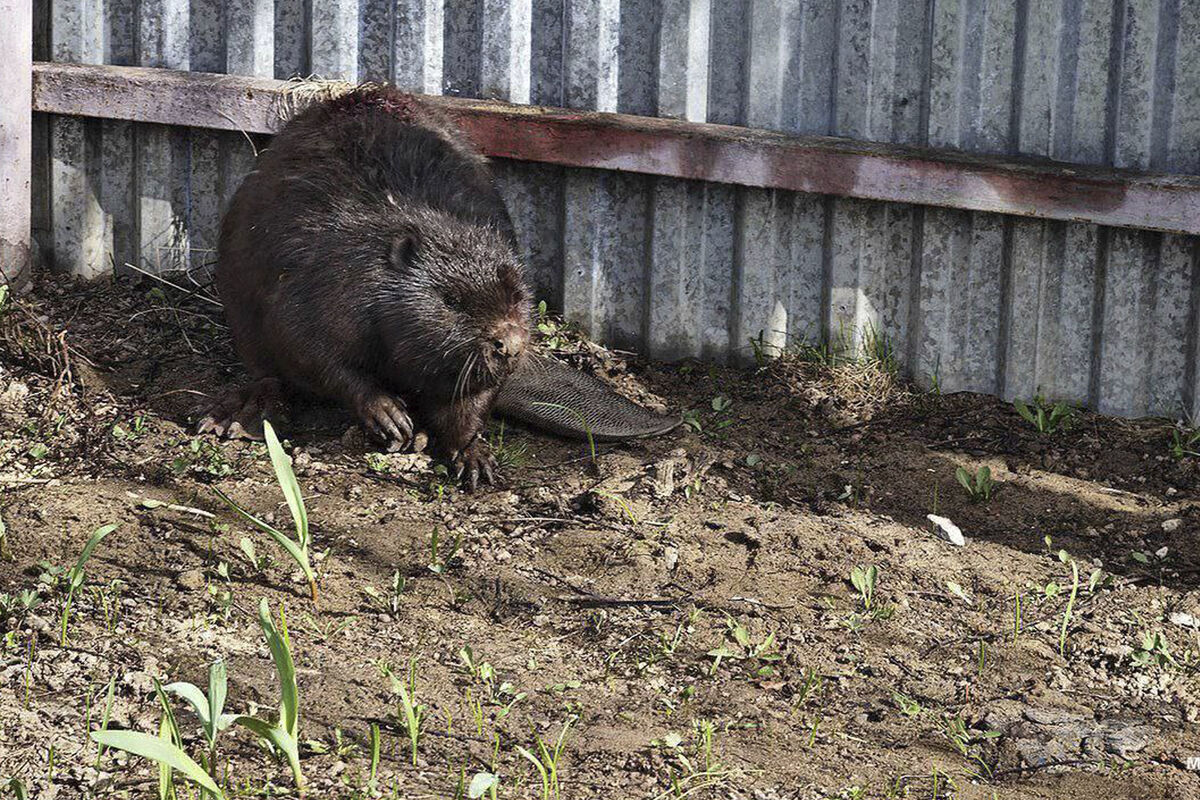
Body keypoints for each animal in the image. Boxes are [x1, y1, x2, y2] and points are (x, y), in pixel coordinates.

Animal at [201, 87, 530, 489]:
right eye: (451, 300)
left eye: (517, 297)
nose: (509, 345)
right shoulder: (323, 283)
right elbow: (307, 347)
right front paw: (390, 415)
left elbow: (470, 398)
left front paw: (474, 458)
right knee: (269, 376)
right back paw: (237, 418)